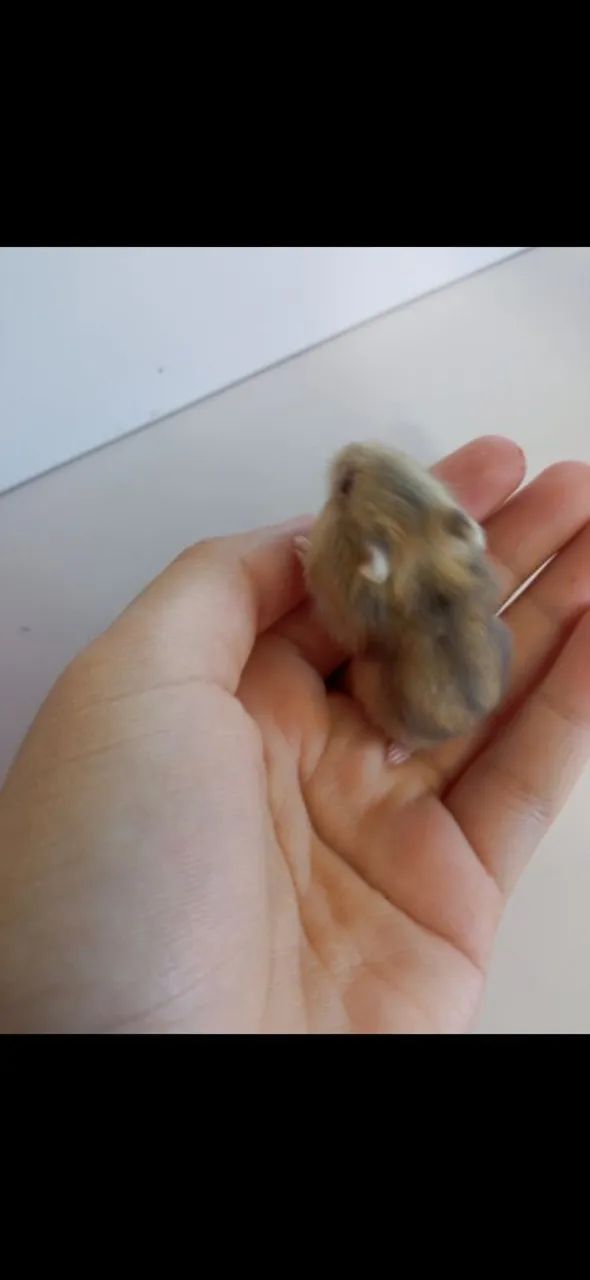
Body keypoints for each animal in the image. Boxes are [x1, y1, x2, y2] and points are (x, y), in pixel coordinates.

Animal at [296, 442, 511, 764]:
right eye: (402, 455)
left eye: (347, 486)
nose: (347, 448)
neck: (417, 553)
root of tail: (470, 725)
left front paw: (298, 545)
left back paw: (395, 755)